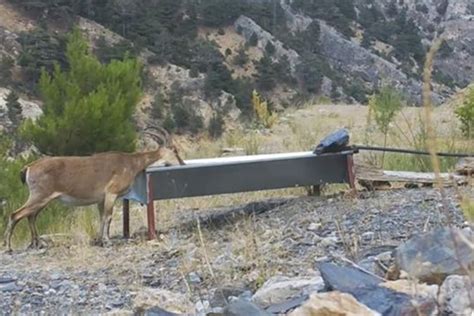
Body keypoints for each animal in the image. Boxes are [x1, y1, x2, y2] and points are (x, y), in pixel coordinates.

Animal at [3, 126, 185, 252]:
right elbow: (108, 217)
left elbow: (101, 218)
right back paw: (8, 247)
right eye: (174, 150)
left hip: (42, 199)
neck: (130, 163)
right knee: (16, 215)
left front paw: (99, 240)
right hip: (40, 195)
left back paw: (37, 243)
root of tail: (28, 168)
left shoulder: (101, 199)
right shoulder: (111, 193)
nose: (182, 163)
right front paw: (107, 241)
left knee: (30, 216)